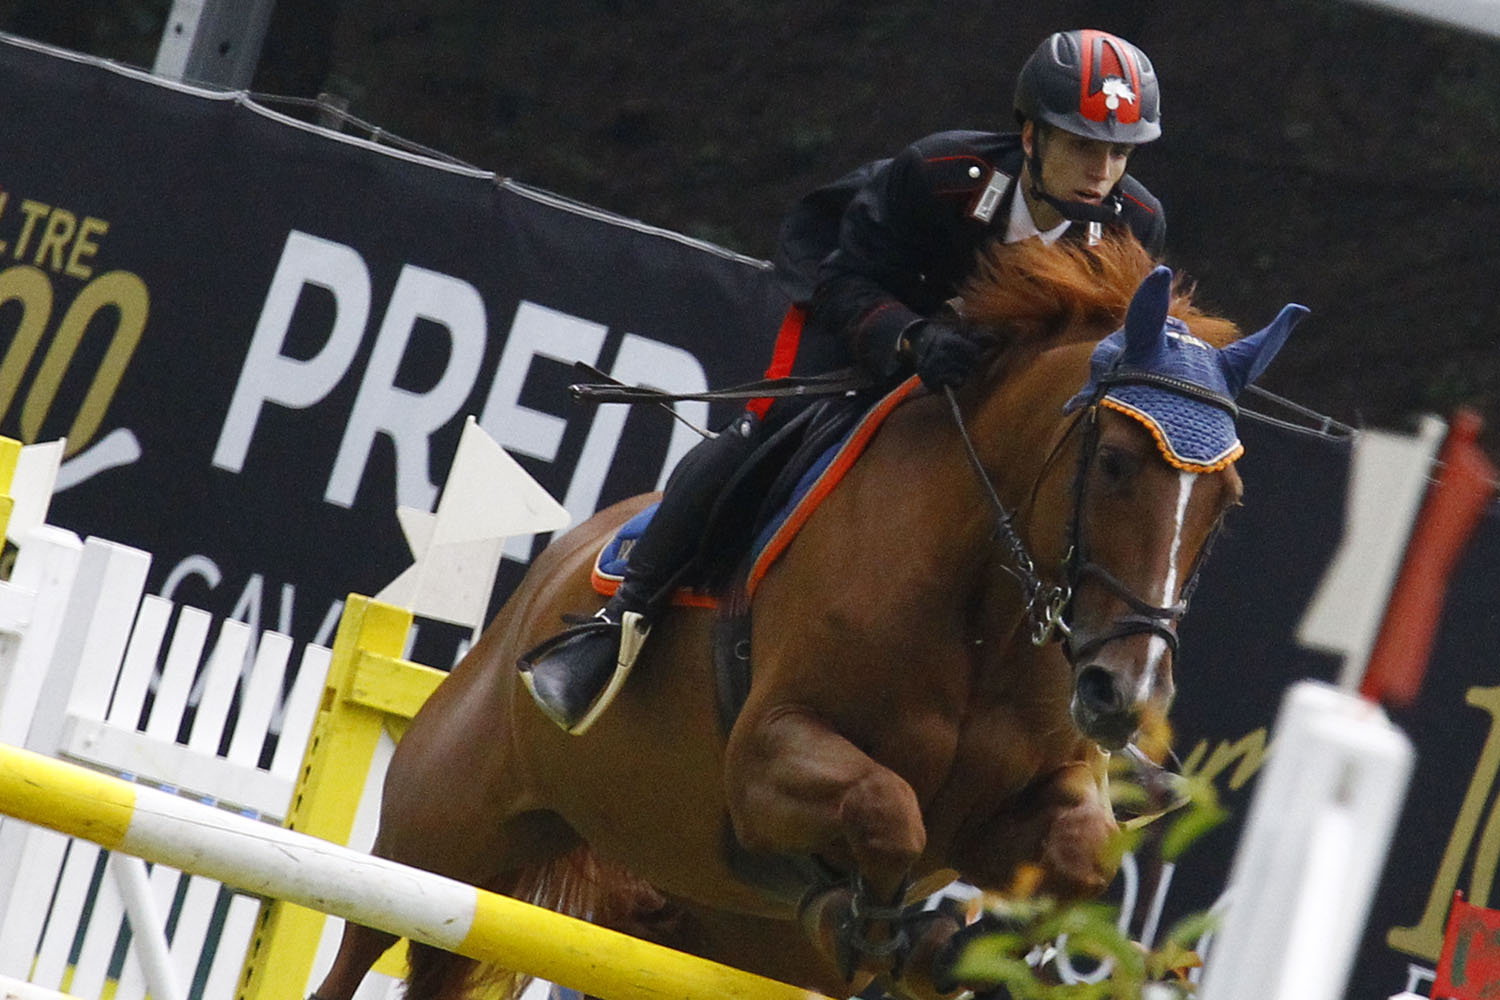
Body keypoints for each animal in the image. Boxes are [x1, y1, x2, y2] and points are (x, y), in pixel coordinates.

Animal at [313, 236, 1302, 1000]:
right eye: (1119, 464)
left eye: (1227, 506)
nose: (1121, 696)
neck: (980, 612)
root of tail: (545, 576)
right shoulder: (765, 758)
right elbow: (886, 809)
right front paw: (869, 922)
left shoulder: (1026, 802)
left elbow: (1084, 851)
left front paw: (955, 947)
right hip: (434, 841)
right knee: (360, 943)